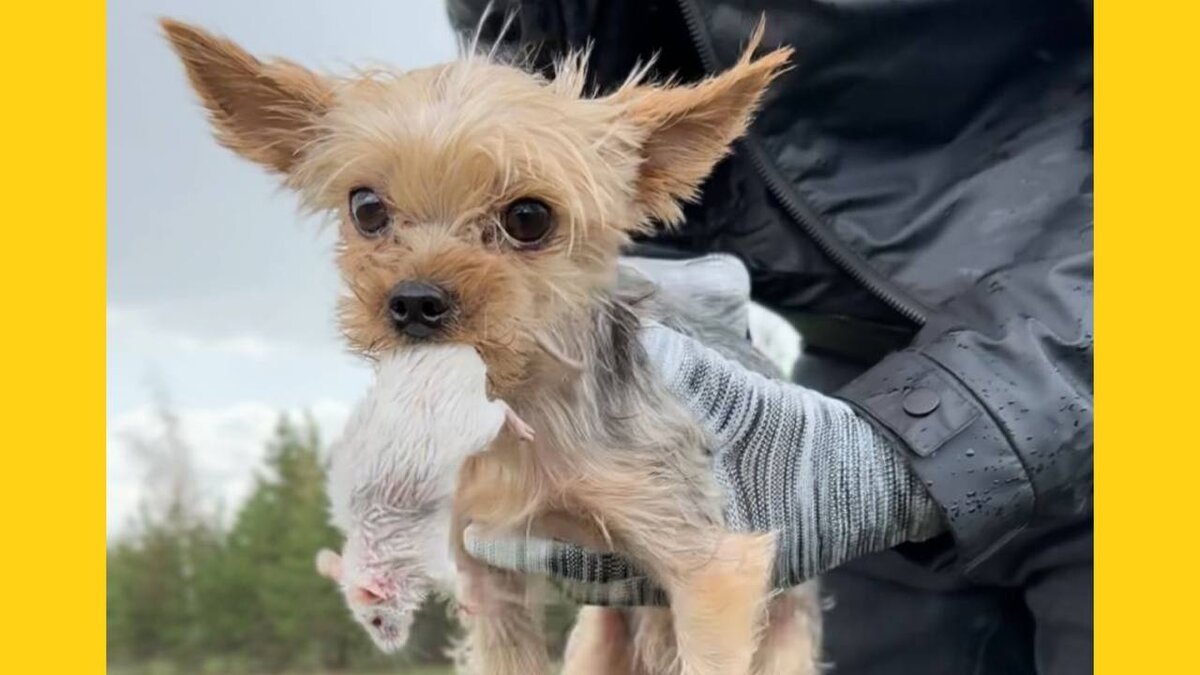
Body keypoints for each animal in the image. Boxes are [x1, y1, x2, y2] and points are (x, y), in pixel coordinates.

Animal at [164, 15, 820, 672]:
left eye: (529, 218)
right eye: (366, 207)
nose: (414, 301)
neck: (523, 407)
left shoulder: (708, 562)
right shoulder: (489, 571)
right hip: (598, 638)